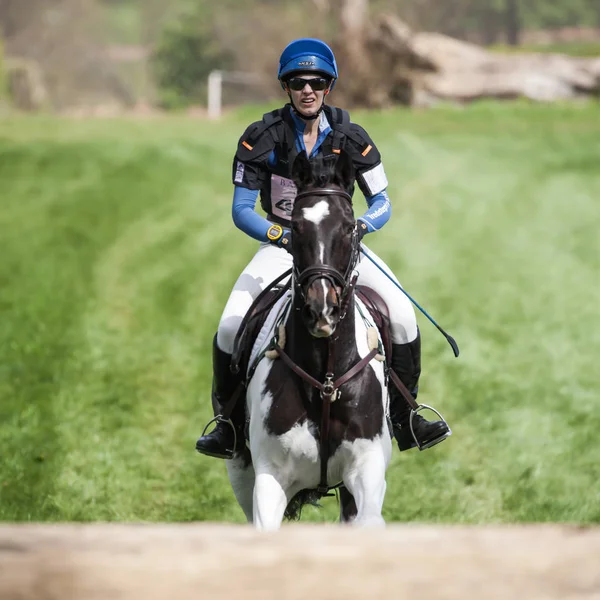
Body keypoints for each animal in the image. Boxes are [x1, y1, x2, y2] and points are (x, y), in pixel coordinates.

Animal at [226, 150, 394, 528]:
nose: (322, 308)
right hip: (239, 470)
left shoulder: (367, 471)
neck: (325, 380)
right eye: (296, 226)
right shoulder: (269, 478)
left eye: (349, 227)